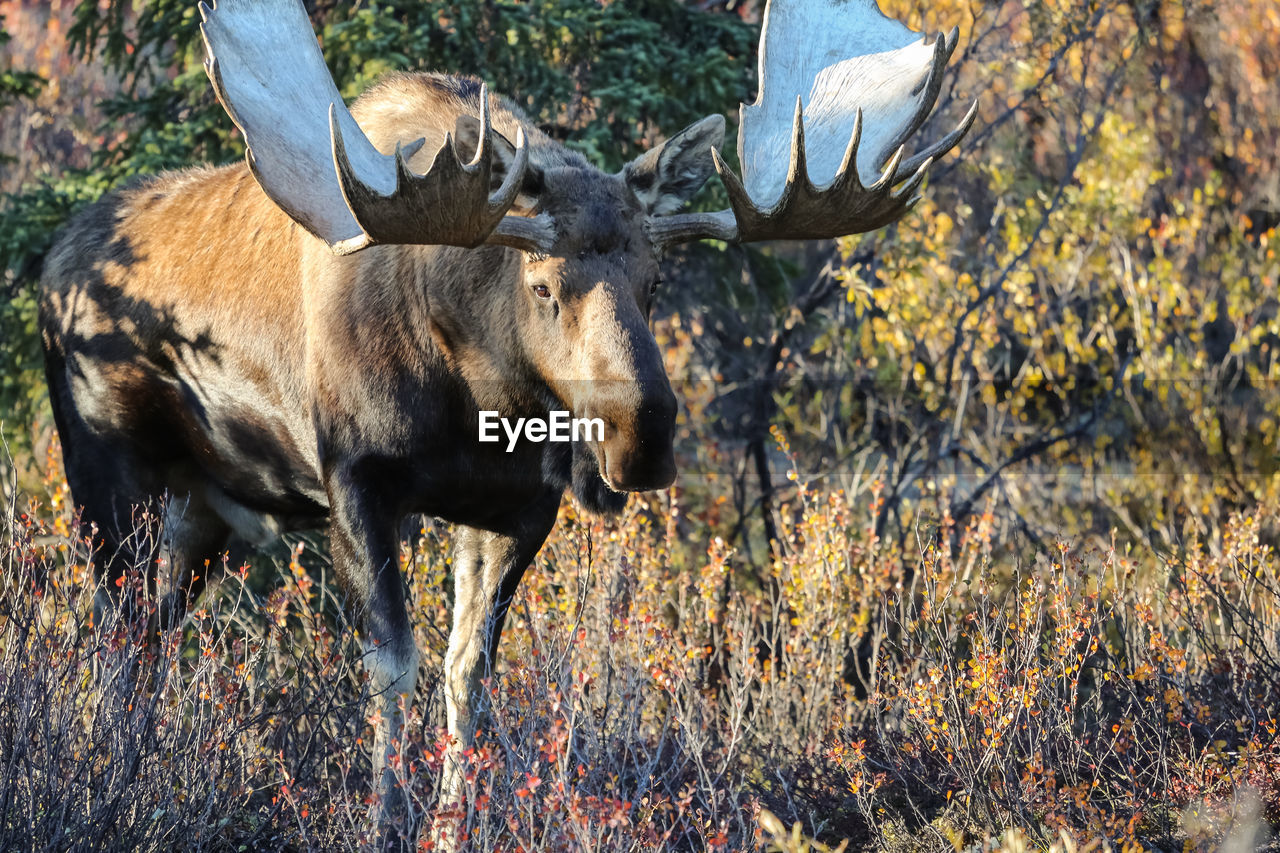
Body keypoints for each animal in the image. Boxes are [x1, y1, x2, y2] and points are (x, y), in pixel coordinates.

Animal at [37, 0, 967, 829]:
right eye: (543, 285)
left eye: (656, 280)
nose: (643, 436)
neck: (474, 393)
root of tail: (50, 268)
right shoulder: (355, 482)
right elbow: (393, 664)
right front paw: (386, 820)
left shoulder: (516, 510)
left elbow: (466, 671)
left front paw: (453, 822)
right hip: (105, 473)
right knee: (117, 631)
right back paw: (110, 773)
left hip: (205, 506)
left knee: (154, 633)